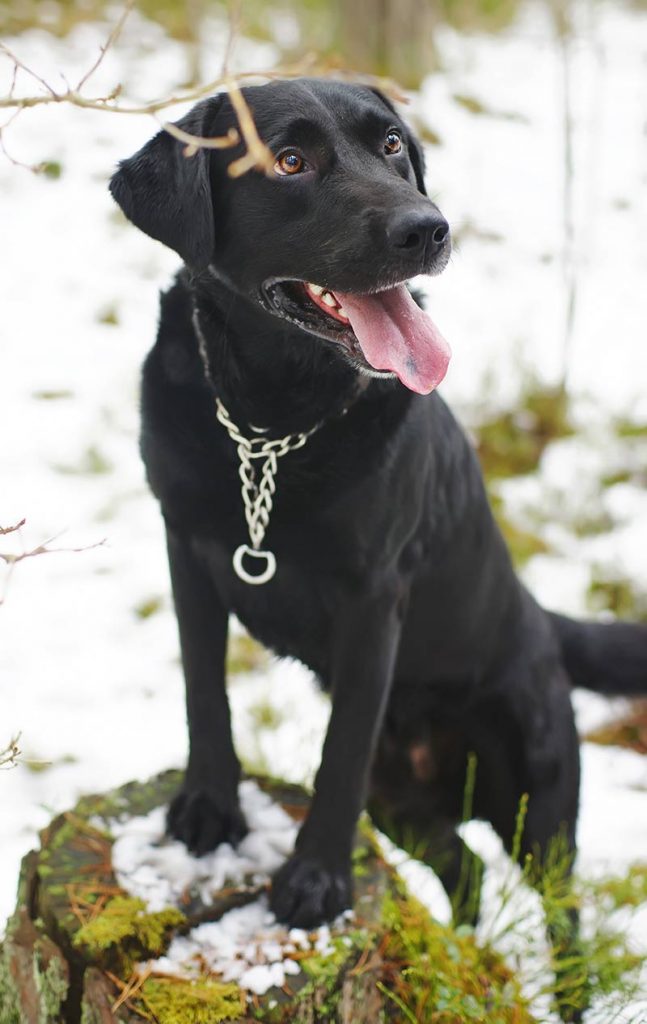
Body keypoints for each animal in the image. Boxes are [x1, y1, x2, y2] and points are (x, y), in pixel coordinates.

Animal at [108, 79, 642, 937]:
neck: (269, 425)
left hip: (537, 802)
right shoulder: (184, 547)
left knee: (565, 922)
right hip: (407, 808)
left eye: (391, 145)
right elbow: (204, 690)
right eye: (289, 161)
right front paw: (209, 809)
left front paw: (316, 880)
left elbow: (340, 753)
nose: (427, 228)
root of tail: (536, 612)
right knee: (464, 871)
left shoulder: (372, 599)